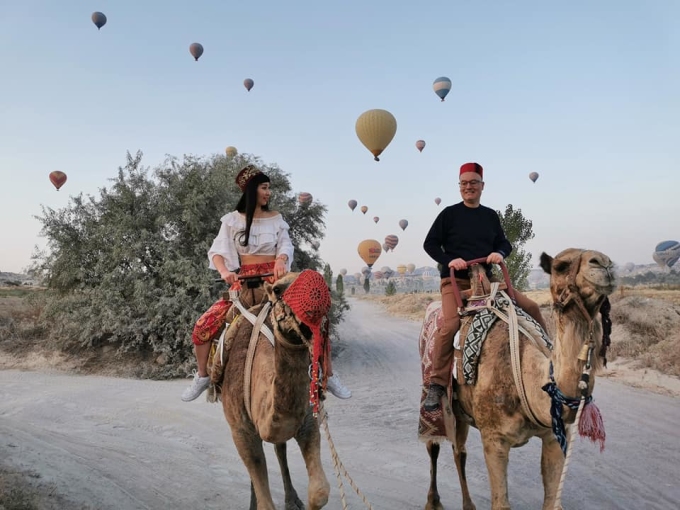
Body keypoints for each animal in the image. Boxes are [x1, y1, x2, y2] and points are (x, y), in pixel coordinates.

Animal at [219, 270, 330, 510]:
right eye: (278, 289)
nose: (315, 300)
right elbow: (265, 502)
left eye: (324, 285)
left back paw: (292, 500)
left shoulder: (308, 420)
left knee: (280, 448)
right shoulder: (241, 429)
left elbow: (319, 492)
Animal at [420, 249, 616, 510]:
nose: (604, 263)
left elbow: (551, 501)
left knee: (459, 450)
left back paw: (468, 505)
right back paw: (433, 501)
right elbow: (501, 503)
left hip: (460, 412)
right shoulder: (494, 440)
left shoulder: (554, 434)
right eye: (561, 266)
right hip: (435, 397)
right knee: (434, 443)